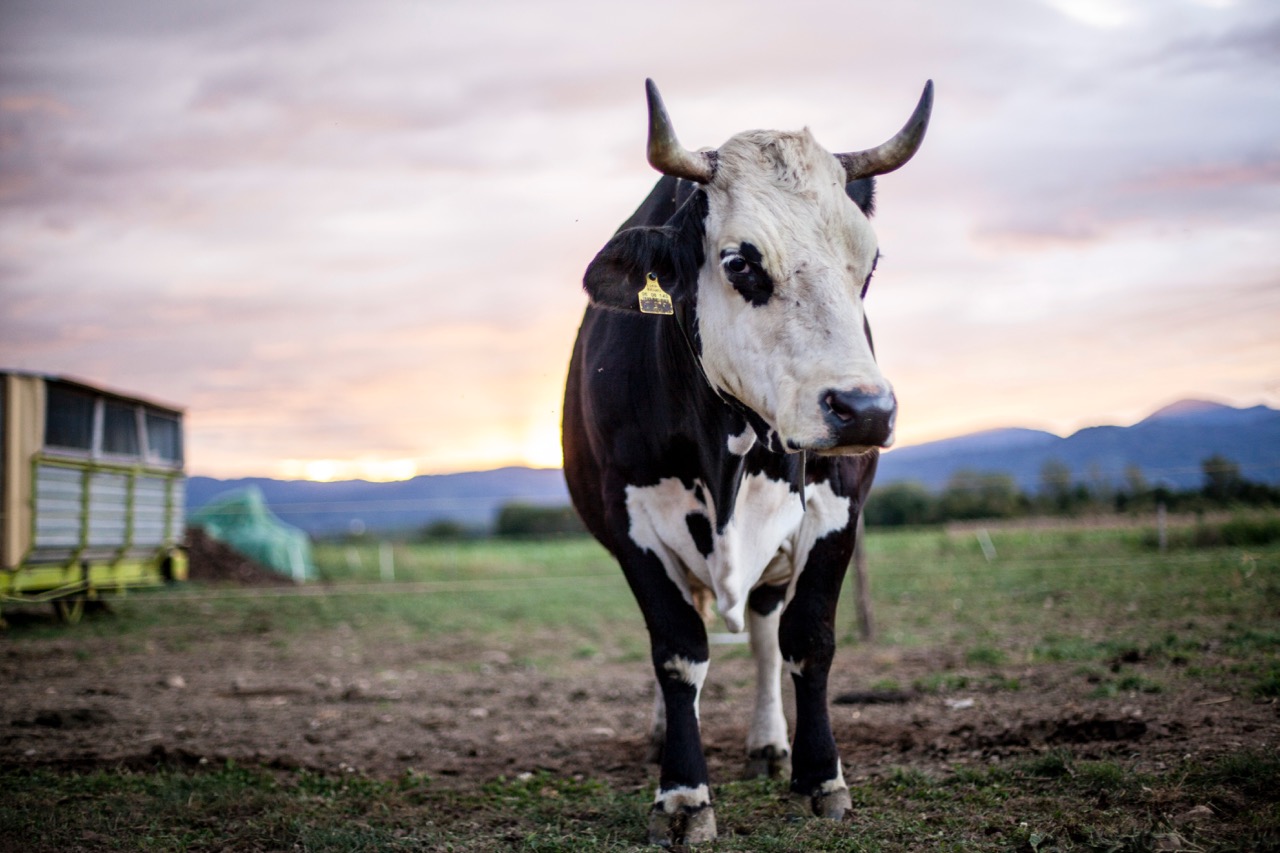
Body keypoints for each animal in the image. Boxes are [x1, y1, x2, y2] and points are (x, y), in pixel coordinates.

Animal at [561, 79, 933, 846]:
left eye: (868, 265)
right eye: (741, 263)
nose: (865, 409)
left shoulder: (837, 509)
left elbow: (808, 639)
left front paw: (821, 777)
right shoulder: (632, 522)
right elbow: (677, 650)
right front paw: (682, 793)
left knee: (763, 627)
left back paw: (769, 742)